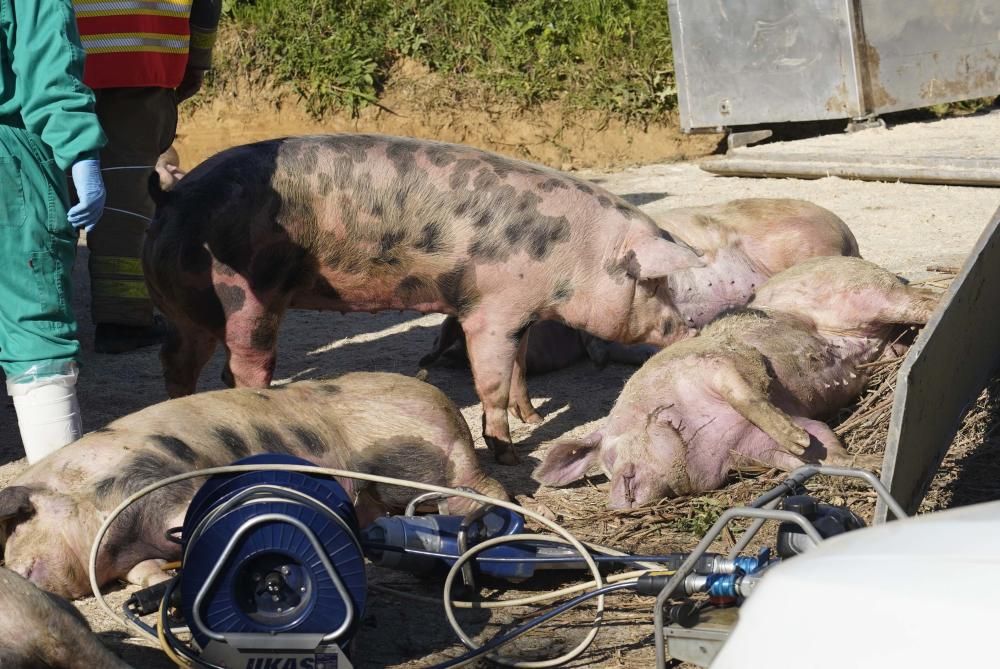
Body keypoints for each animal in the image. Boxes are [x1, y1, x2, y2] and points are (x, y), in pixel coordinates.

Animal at [1, 374, 508, 596]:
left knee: (486, 488)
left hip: (406, 463)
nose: (15, 573)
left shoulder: (168, 481)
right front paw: (162, 576)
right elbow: (140, 572)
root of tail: (447, 407)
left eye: (20, 526)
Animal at [141, 132, 708, 462]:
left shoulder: (520, 312)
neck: (574, 254)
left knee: (177, 362)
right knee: (244, 365)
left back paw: (180, 405)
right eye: (653, 282)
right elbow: (492, 381)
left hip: (184, 310)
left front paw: (533, 417)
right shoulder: (490, 310)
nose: (690, 328)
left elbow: (520, 366)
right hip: (245, 297)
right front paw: (508, 452)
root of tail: (172, 196)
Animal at [536, 256, 940, 506]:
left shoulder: (720, 362)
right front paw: (858, 458)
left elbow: (747, 395)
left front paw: (795, 437)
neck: (695, 431)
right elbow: (822, 450)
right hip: (884, 334)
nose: (617, 503)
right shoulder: (754, 448)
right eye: (603, 469)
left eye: (610, 454)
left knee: (922, 301)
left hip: (868, 292)